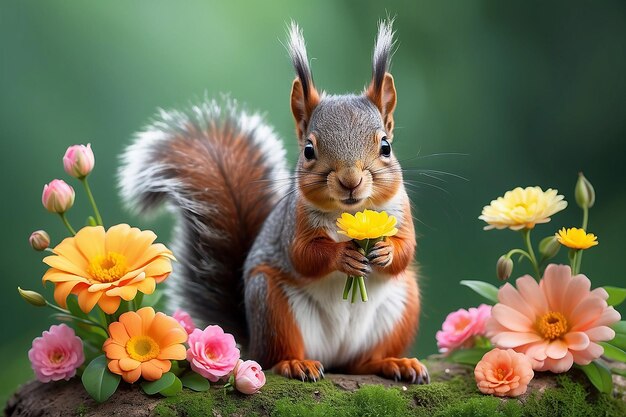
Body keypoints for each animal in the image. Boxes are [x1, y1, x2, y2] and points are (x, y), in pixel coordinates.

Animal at [119, 19, 426, 384]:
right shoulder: (293, 225)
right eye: (308, 150)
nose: (350, 181)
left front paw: (385, 250)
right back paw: (296, 363)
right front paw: (343, 256)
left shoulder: (400, 212)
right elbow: (304, 256)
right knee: (277, 355)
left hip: (402, 304)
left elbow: (406, 249)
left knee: (362, 362)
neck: (350, 213)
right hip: (272, 302)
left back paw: (393, 363)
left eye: (385, 146)